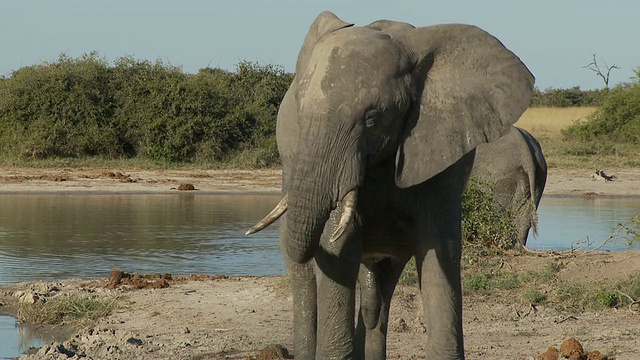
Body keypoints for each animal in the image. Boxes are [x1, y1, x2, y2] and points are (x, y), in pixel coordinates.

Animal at [248, 11, 532, 360]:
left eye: (372, 118)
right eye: (299, 115)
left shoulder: (440, 153)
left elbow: (440, 249)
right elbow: (337, 249)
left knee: (378, 293)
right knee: (306, 277)